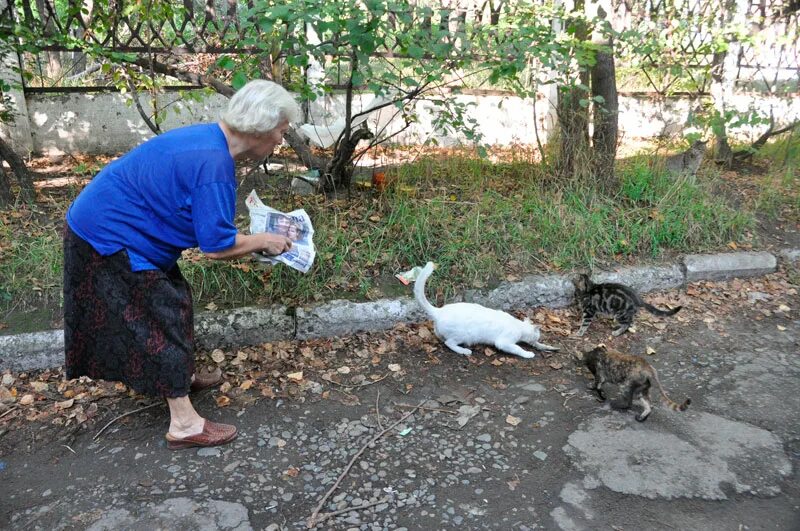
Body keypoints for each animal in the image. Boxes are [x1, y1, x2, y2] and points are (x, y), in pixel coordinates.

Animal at [412, 264, 556, 360]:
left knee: (442, 338)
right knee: (449, 343)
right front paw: (528, 353)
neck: (519, 326)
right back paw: (464, 351)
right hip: (464, 335)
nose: (537, 340)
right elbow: (518, 348)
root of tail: (439, 311)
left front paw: (544, 346)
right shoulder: (503, 342)